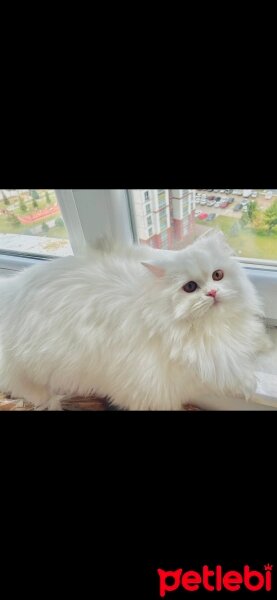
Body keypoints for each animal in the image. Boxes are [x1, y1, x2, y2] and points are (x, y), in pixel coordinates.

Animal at [0, 230, 272, 408]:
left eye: (218, 275)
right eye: (190, 287)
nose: (213, 293)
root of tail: (11, 289)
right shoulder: (150, 388)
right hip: (28, 374)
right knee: (35, 393)